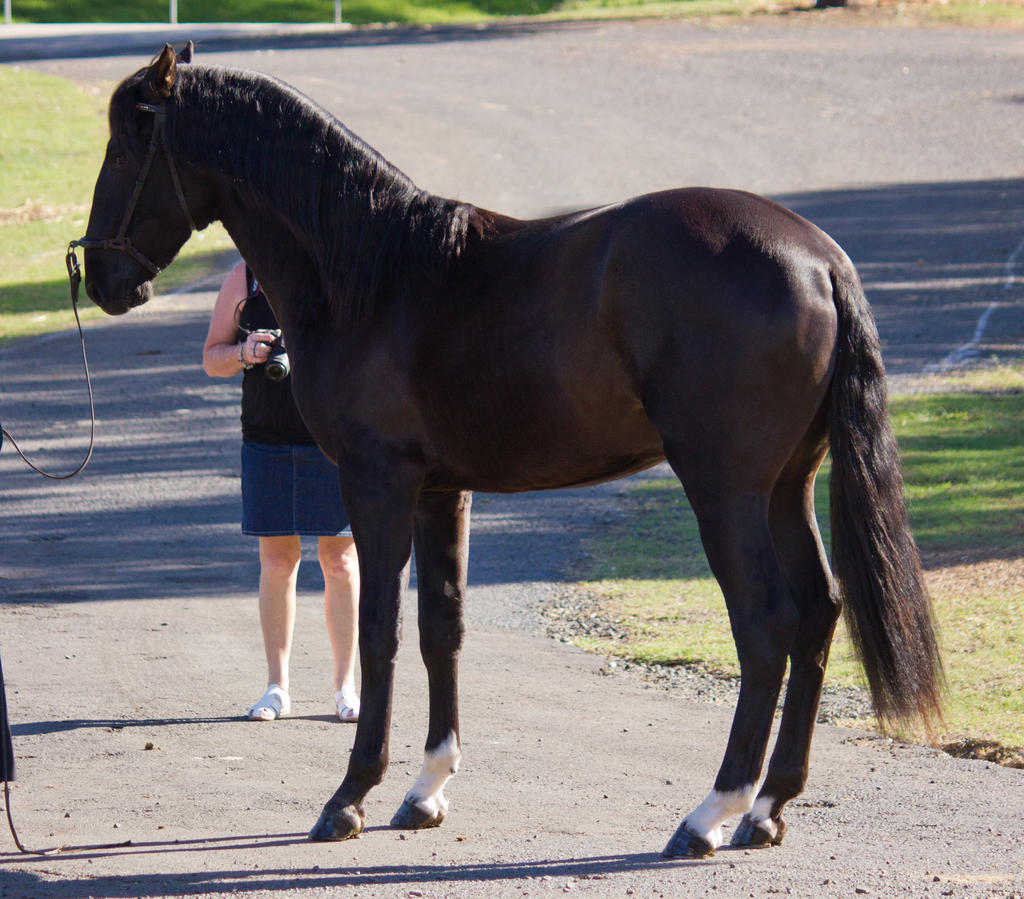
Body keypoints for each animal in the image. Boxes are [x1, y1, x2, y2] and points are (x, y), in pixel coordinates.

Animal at [77, 44, 942, 860]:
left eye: (124, 149)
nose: (102, 277)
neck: (371, 272)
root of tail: (819, 259)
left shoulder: (377, 482)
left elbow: (379, 628)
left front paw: (349, 796)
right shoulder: (441, 491)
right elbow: (442, 626)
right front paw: (425, 790)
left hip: (726, 490)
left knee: (767, 624)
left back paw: (710, 814)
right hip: (786, 487)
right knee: (820, 610)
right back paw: (767, 808)